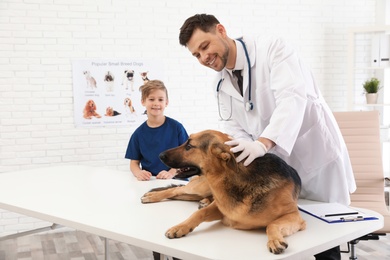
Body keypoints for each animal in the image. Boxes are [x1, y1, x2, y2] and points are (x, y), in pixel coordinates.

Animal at [142, 130, 306, 254]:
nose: (160, 155)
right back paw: (153, 196)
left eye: (189, 146)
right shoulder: (221, 209)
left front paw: (275, 240)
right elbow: (198, 213)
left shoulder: (294, 216)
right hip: (200, 187)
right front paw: (180, 227)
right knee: (176, 189)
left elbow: (271, 224)